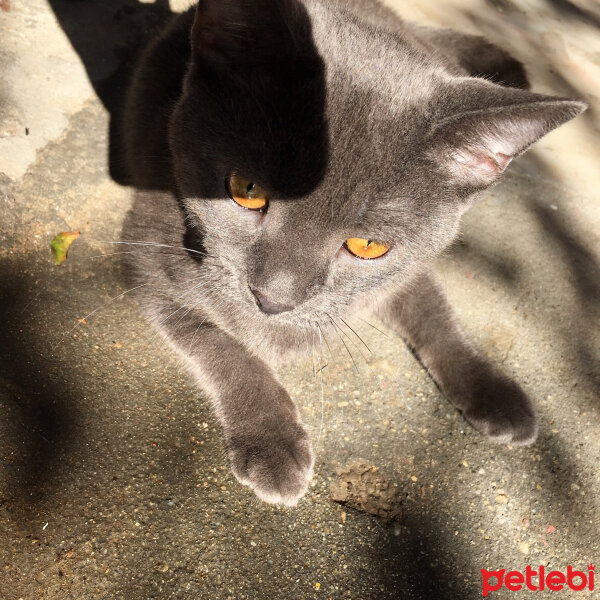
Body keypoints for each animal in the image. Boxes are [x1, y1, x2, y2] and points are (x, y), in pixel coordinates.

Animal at [120, 0, 584, 506]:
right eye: (246, 190)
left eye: (368, 246)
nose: (272, 299)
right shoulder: (146, 249)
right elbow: (219, 343)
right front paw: (272, 442)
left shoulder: (407, 267)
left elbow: (435, 313)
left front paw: (491, 389)